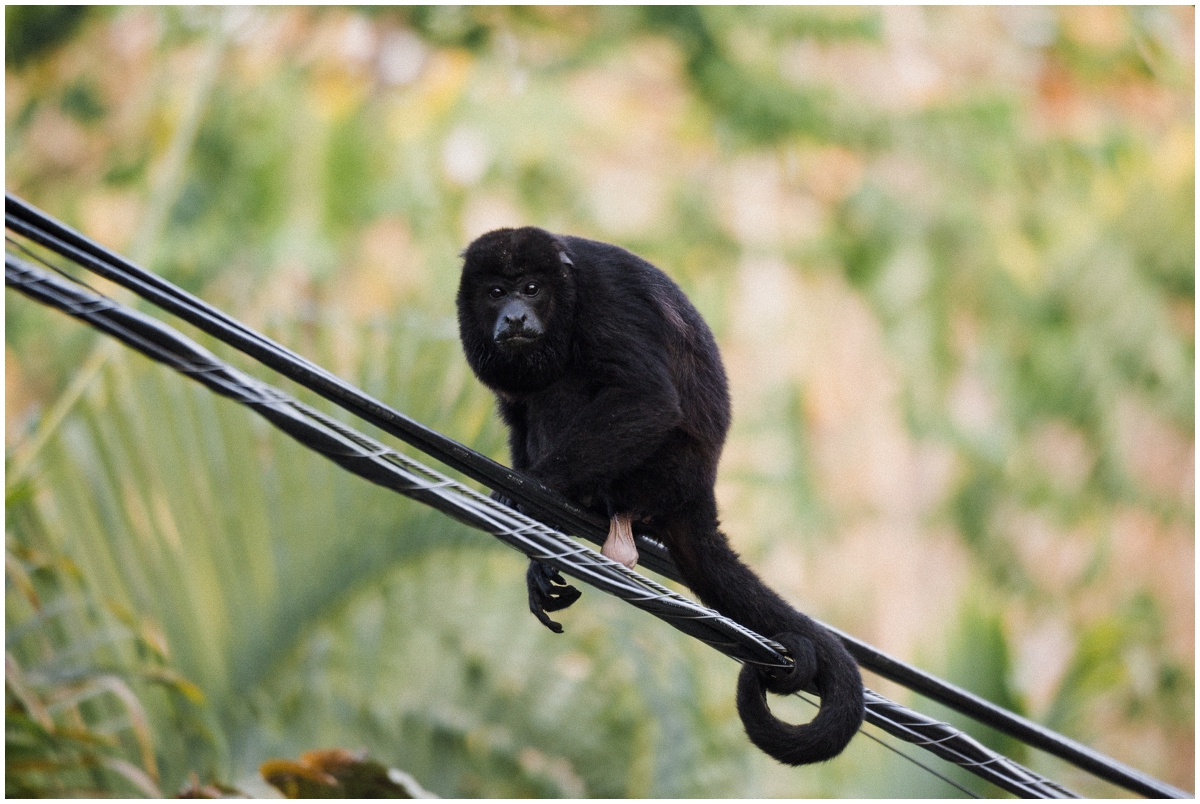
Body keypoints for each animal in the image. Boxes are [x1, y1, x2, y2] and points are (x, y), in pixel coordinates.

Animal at [456, 226, 864, 768]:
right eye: (496, 293)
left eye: (531, 289)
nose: (515, 316)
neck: (565, 292)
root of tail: (699, 496)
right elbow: (516, 415)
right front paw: (535, 554)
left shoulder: (605, 300)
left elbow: (645, 397)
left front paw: (531, 491)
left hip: (658, 475)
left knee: (568, 385)